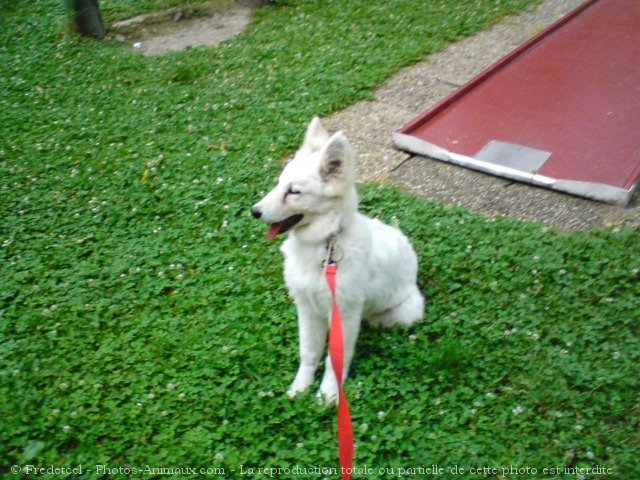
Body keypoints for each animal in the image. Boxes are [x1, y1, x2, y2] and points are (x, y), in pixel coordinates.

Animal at [251, 117, 424, 402]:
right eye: (279, 184)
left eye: (293, 192)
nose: (254, 211)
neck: (325, 245)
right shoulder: (307, 309)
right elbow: (309, 351)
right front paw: (300, 388)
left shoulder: (344, 314)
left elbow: (335, 360)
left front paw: (328, 395)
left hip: (404, 311)